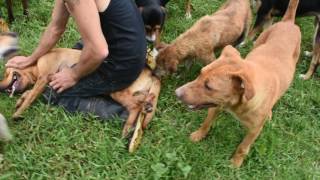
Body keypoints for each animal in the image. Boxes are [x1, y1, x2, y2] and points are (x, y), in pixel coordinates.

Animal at [0, 48, 160, 137]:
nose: (0, 87)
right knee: (144, 101)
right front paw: (20, 101)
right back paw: (146, 108)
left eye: (5, 73)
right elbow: (29, 93)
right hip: (135, 93)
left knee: (134, 106)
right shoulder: (45, 83)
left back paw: (127, 128)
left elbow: (30, 96)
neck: (35, 65)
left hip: (117, 91)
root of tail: (151, 74)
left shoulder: (44, 78)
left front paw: (18, 112)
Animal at [175, 0, 300, 167]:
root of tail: (288, 22)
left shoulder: (254, 130)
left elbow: (243, 147)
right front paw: (198, 135)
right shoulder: (216, 105)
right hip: (258, 42)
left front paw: (235, 163)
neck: (237, 105)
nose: (176, 93)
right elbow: (206, 123)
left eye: (209, 87)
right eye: (200, 73)